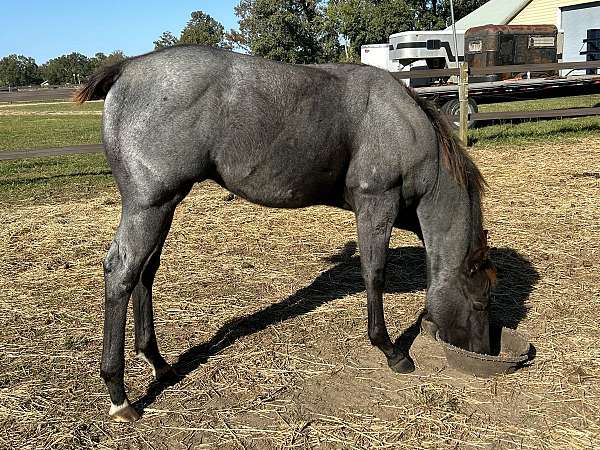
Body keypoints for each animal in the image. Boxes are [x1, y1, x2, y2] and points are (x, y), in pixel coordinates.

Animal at [75, 45, 496, 422]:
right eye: (479, 304)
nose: (483, 353)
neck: (406, 124)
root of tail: (128, 67)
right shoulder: (378, 205)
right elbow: (374, 275)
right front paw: (390, 349)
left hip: (165, 206)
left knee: (145, 273)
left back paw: (157, 362)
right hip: (150, 206)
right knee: (122, 273)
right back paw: (119, 394)